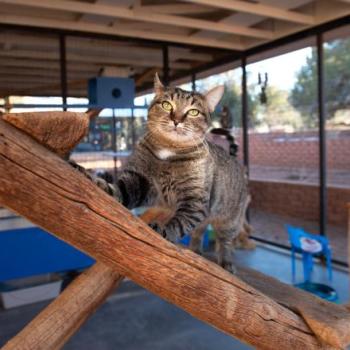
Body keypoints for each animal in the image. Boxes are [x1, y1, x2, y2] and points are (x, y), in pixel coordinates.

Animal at [79, 74, 249, 274]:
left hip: (229, 221)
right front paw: (97, 182)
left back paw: (226, 262)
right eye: (167, 105)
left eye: (193, 112)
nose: (176, 120)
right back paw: (195, 250)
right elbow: (119, 190)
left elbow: (179, 222)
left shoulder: (195, 202)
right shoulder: (140, 180)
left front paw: (164, 231)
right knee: (199, 232)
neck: (169, 151)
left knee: (225, 242)